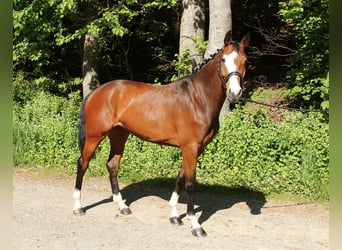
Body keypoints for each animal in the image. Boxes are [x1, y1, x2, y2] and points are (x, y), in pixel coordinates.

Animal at [73, 31, 248, 236]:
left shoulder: (195, 149)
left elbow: (181, 177)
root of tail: (97, 92)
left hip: (119, 136)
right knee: (82, 164)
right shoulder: (190, 148)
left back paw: (122, 206)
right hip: (94, 136)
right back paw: (78, 207)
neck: (197, 99)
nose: (235, 93)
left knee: (112, 165)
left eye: (245, 60)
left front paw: (174, 216)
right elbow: (190, 183)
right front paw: (195, 224)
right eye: (223, 59)